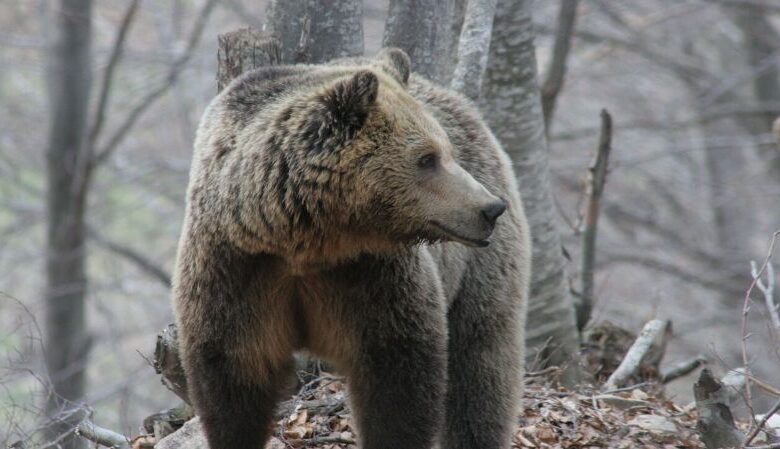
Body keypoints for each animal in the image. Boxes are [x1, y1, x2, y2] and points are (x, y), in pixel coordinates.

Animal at [172, 49, 532, 448]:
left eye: (445, 152)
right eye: (427, 158)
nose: (489, 208)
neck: (307, 241)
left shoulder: (371, 277)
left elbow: (399, 382)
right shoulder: (237, 269)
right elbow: (232, 379)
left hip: (478, 269)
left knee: (481, 360)